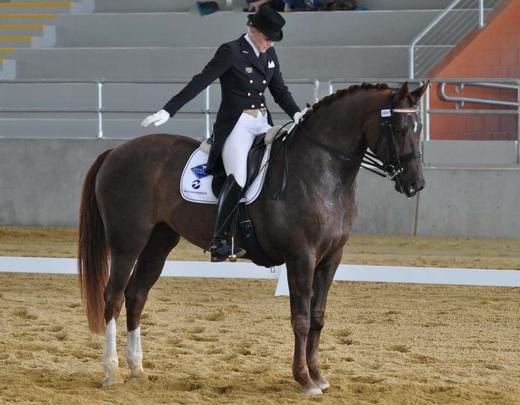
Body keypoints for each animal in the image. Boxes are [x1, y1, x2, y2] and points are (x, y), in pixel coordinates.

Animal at [77, 81, 426, 394]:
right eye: (398, 128)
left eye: (419, 127)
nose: (416, 184)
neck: (321, 171)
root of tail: (117, 151)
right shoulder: (301, 256)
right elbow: (300, 318)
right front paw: (304, 379)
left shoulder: (331, 258)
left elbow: (318, 316)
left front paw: (319, 375)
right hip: (128, 241)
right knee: (113, 296)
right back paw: (112, 373)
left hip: (159, 242)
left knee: (136, 295)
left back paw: (137, 369)